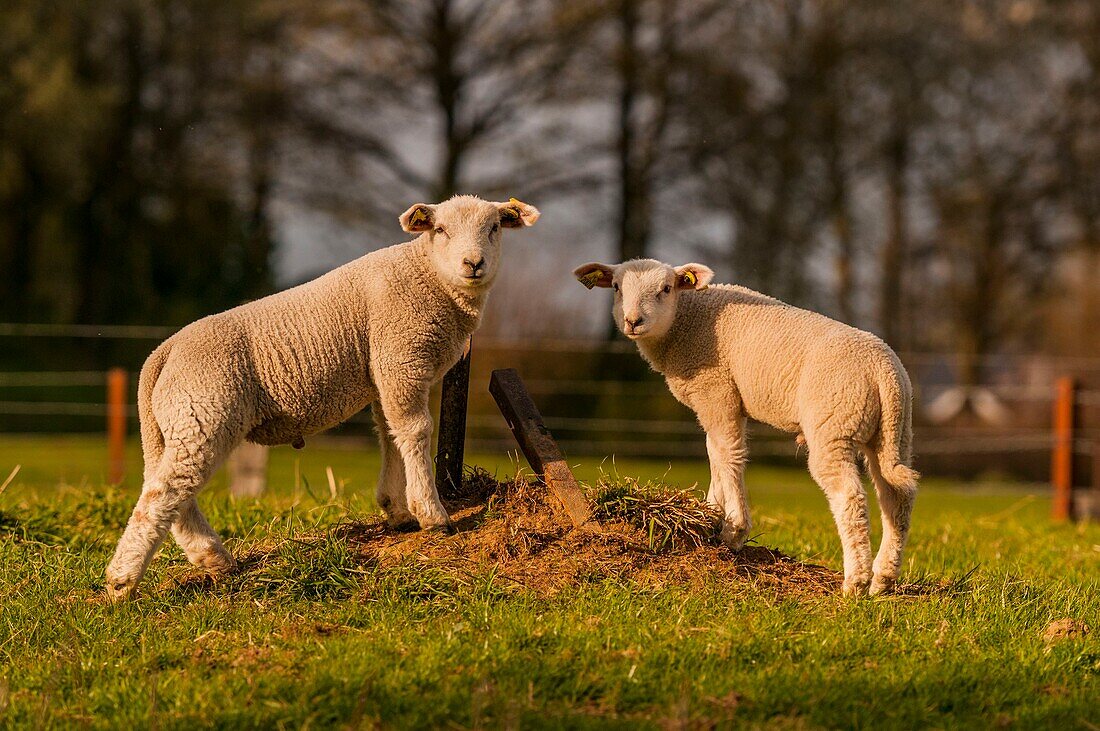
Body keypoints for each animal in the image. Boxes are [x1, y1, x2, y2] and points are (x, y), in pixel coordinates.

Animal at [105, 193, 543, 597]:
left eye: (495, 228)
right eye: (441, 230)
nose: (473, 264)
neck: (429, 274)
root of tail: (163, 353)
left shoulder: (384, 372)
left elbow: (390, 435)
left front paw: (397, 509)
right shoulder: (401, 359)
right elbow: (415, 431)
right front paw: (431, 514)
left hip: (178, 423)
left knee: (171, 490)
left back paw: (214, 558)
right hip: (204, 410)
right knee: (164, 493)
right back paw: (121, 582)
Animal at [576, 259, 919, 597]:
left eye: (666, 288)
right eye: (617, 288)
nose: (633, 321)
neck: (686, 321)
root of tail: (883, 370)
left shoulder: (716, 390)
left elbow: (728, 454)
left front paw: (733, 531)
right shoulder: (718, 401)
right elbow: (714, 452)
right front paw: (711, 512)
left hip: (834, 424)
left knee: (849, 496)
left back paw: (855, 582)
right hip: (894, 432)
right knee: (897, 495)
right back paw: (883, 579)